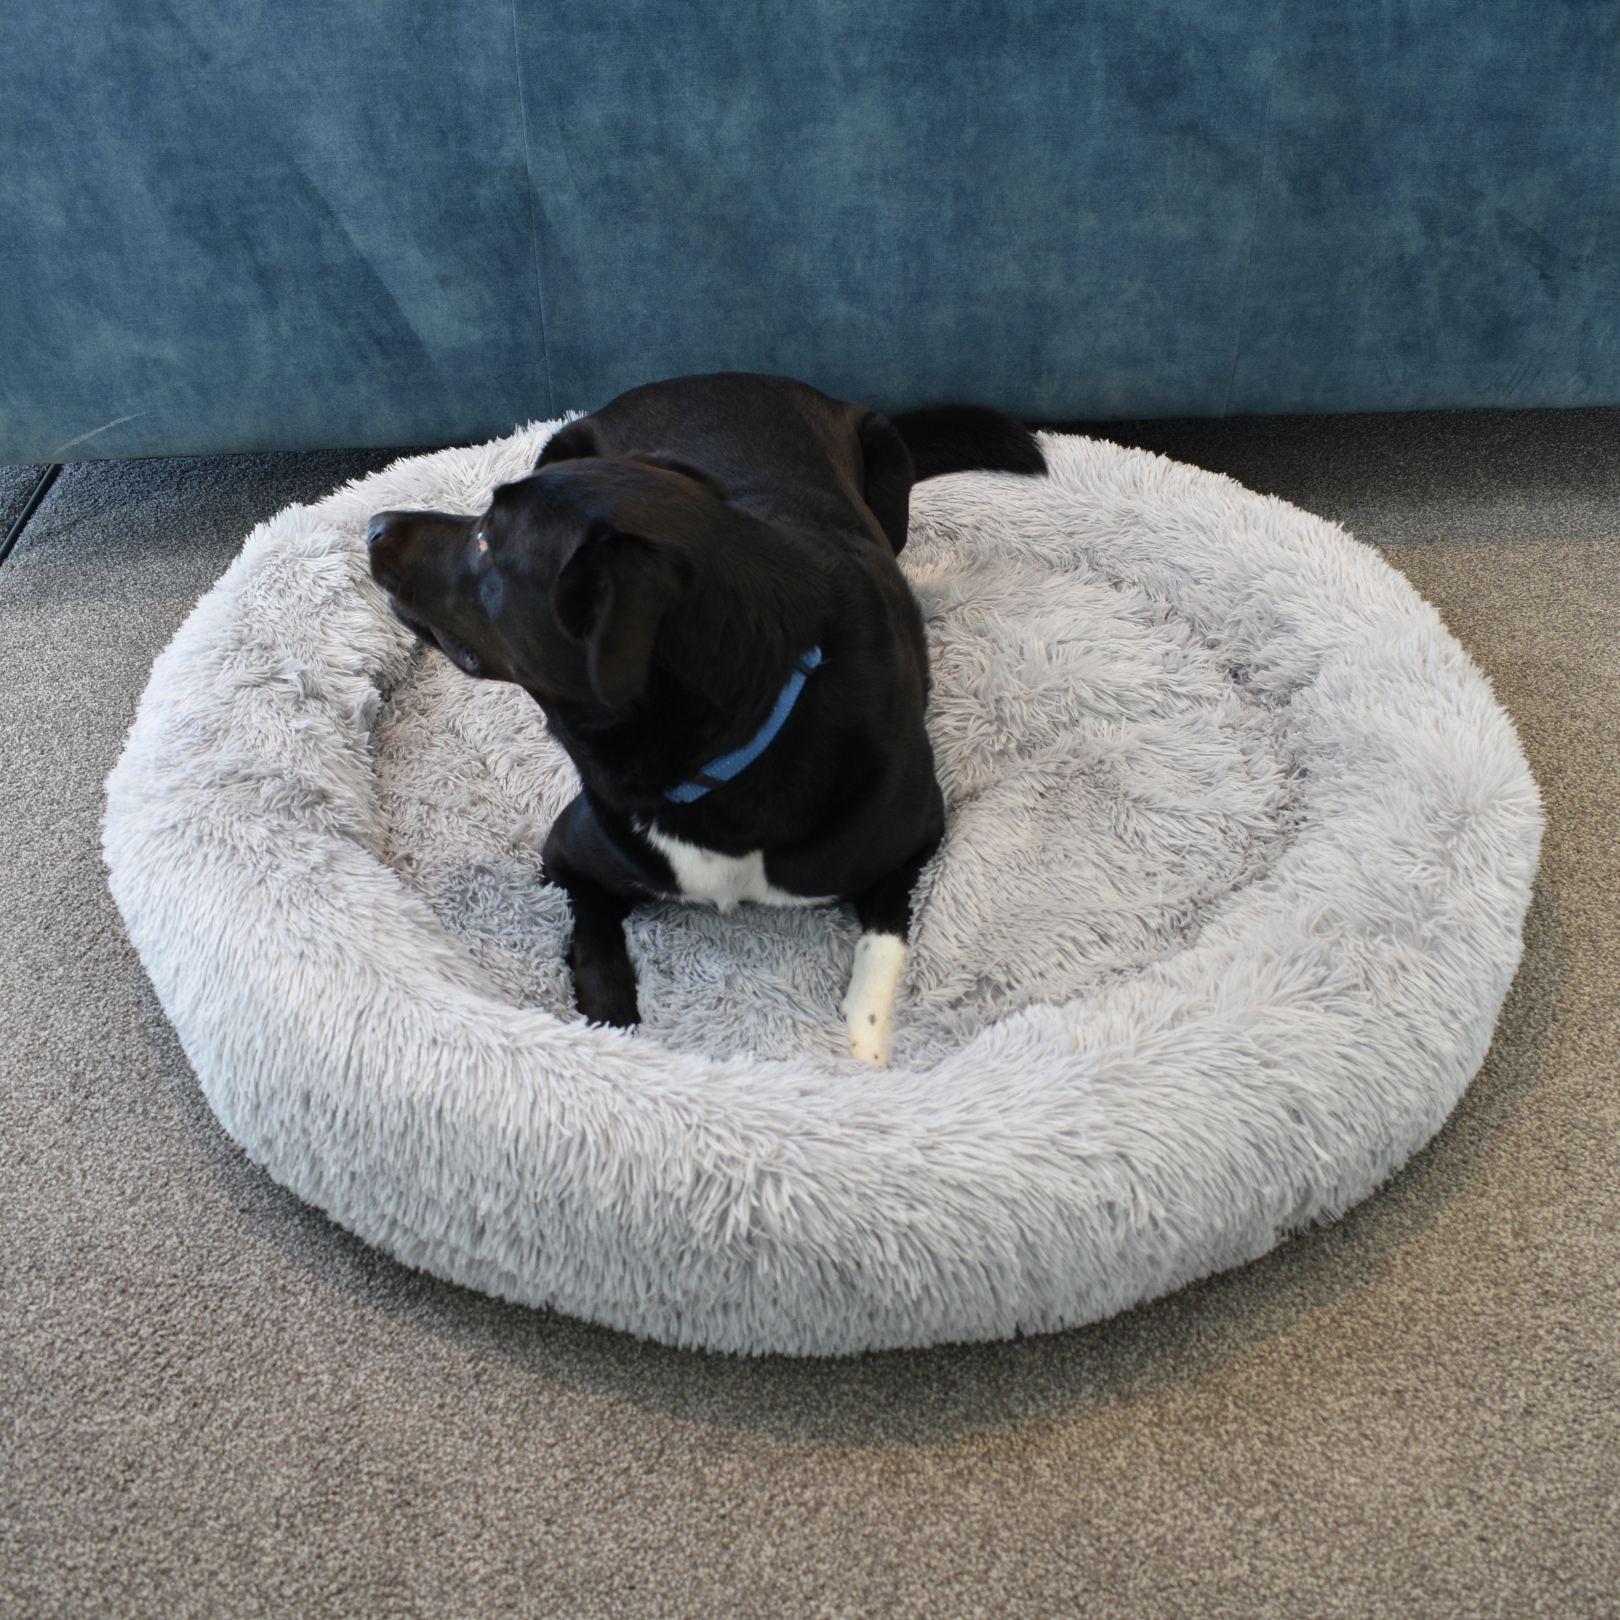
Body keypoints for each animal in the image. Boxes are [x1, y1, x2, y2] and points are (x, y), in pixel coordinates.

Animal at [369, 374, 1043, 1069]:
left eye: (484, 541)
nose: (374, 523)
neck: (733, 748)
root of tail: (712, 377)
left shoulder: (920, 831)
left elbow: (887, 933)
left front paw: (868, 1034)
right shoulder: (567, 854)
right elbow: (593, 940)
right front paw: (610, 1031)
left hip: (888, 474)